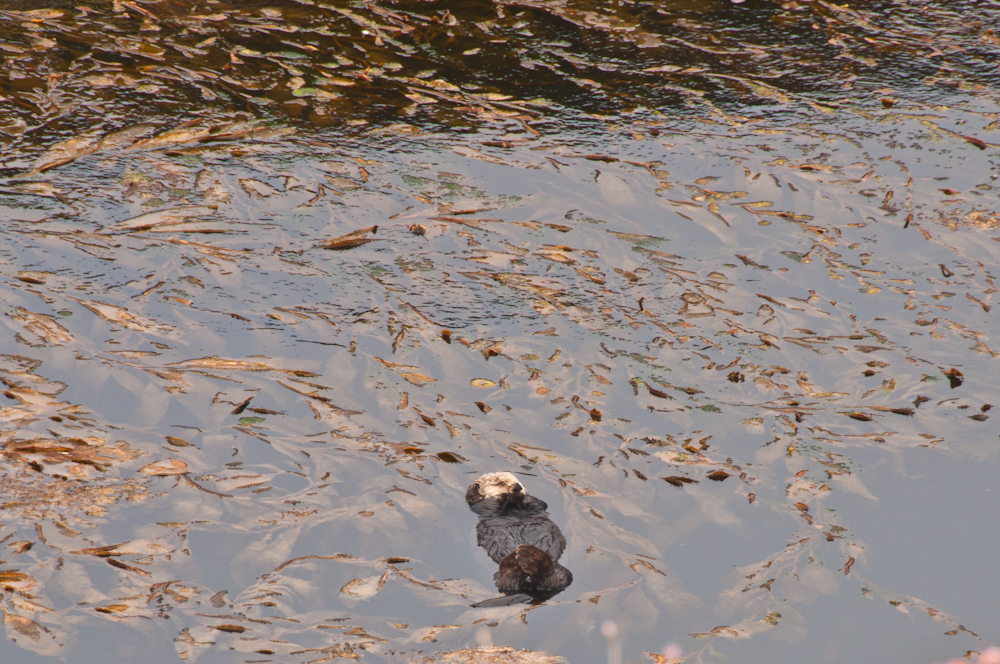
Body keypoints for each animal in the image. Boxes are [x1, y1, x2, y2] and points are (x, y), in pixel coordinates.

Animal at [466, 472, 573, 606]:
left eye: (517, 480)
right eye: (499, 483)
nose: (517, 486)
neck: (511, 506)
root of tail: (529, 586)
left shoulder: (538, 505)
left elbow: (539, 503)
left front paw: (522, 495)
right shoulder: (480, 506)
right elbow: (489, 505)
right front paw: (504, 495)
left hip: (559, 569)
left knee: (553, 582)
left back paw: (531, 558)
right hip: (498, 576)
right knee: (506, 585)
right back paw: (515, 562)